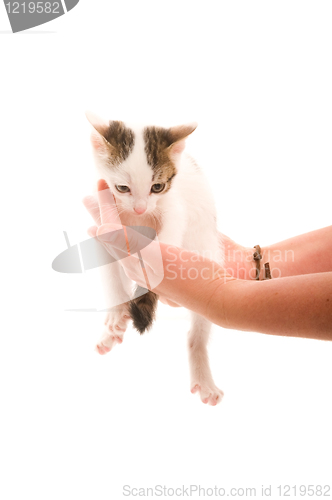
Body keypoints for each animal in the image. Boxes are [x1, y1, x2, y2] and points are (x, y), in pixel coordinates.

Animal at [86, 111, 226, 404]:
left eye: (157, 186)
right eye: (122, 188)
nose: (140, 208)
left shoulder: (173, 206)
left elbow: (170, 232)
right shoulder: (102, 224)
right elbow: (109, 275)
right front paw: (116, 314)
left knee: (198, 329)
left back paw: (203, 373)